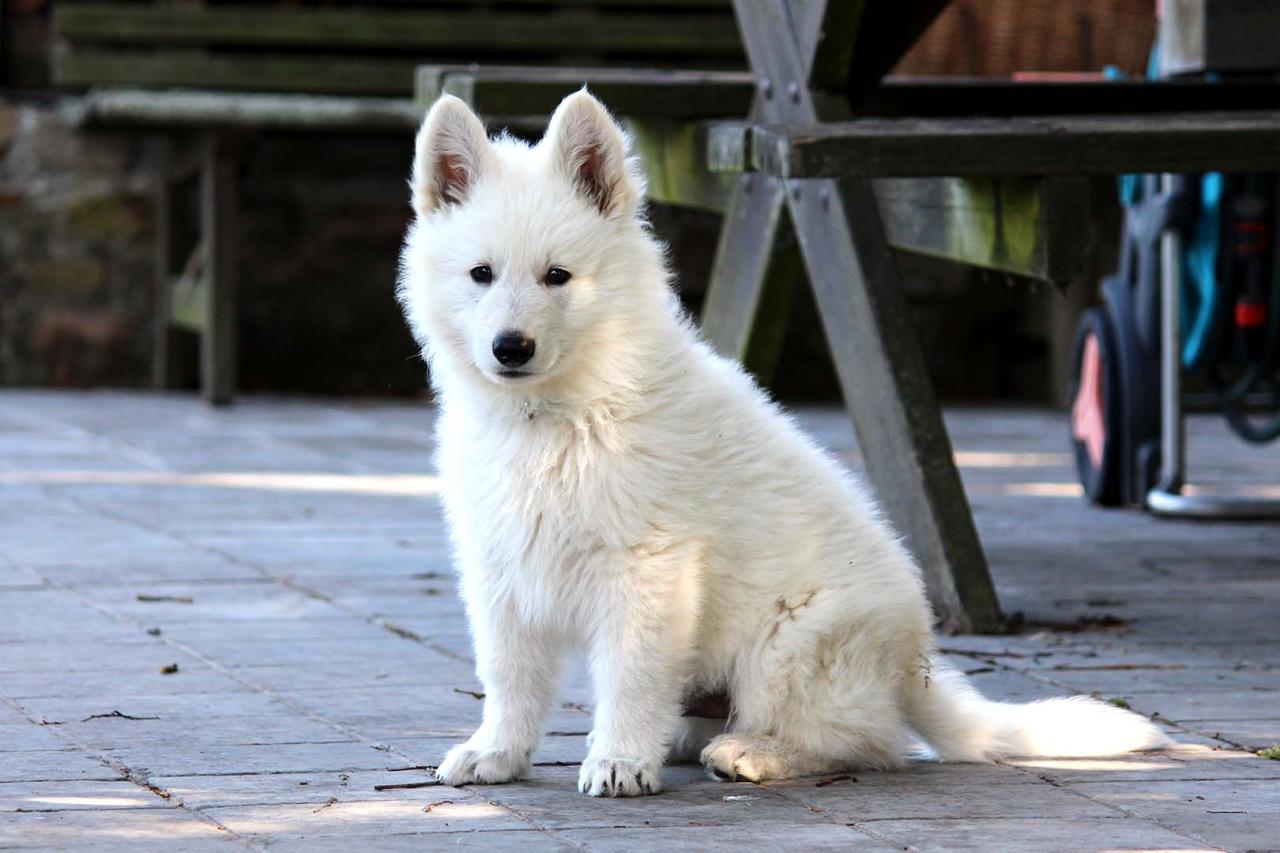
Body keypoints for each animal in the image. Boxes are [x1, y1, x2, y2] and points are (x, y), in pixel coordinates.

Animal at [396, 89, 1172, 794]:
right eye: (481, 274)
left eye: (557, 276)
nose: (510, 348)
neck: (555, 413)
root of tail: (911, 668)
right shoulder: (500, 567)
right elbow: (509, 674)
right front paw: (497, 752)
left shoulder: (647, 570)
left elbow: (631, 674)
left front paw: (618, 759)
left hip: (793, 643)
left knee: (866, 741)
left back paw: (753, 754)